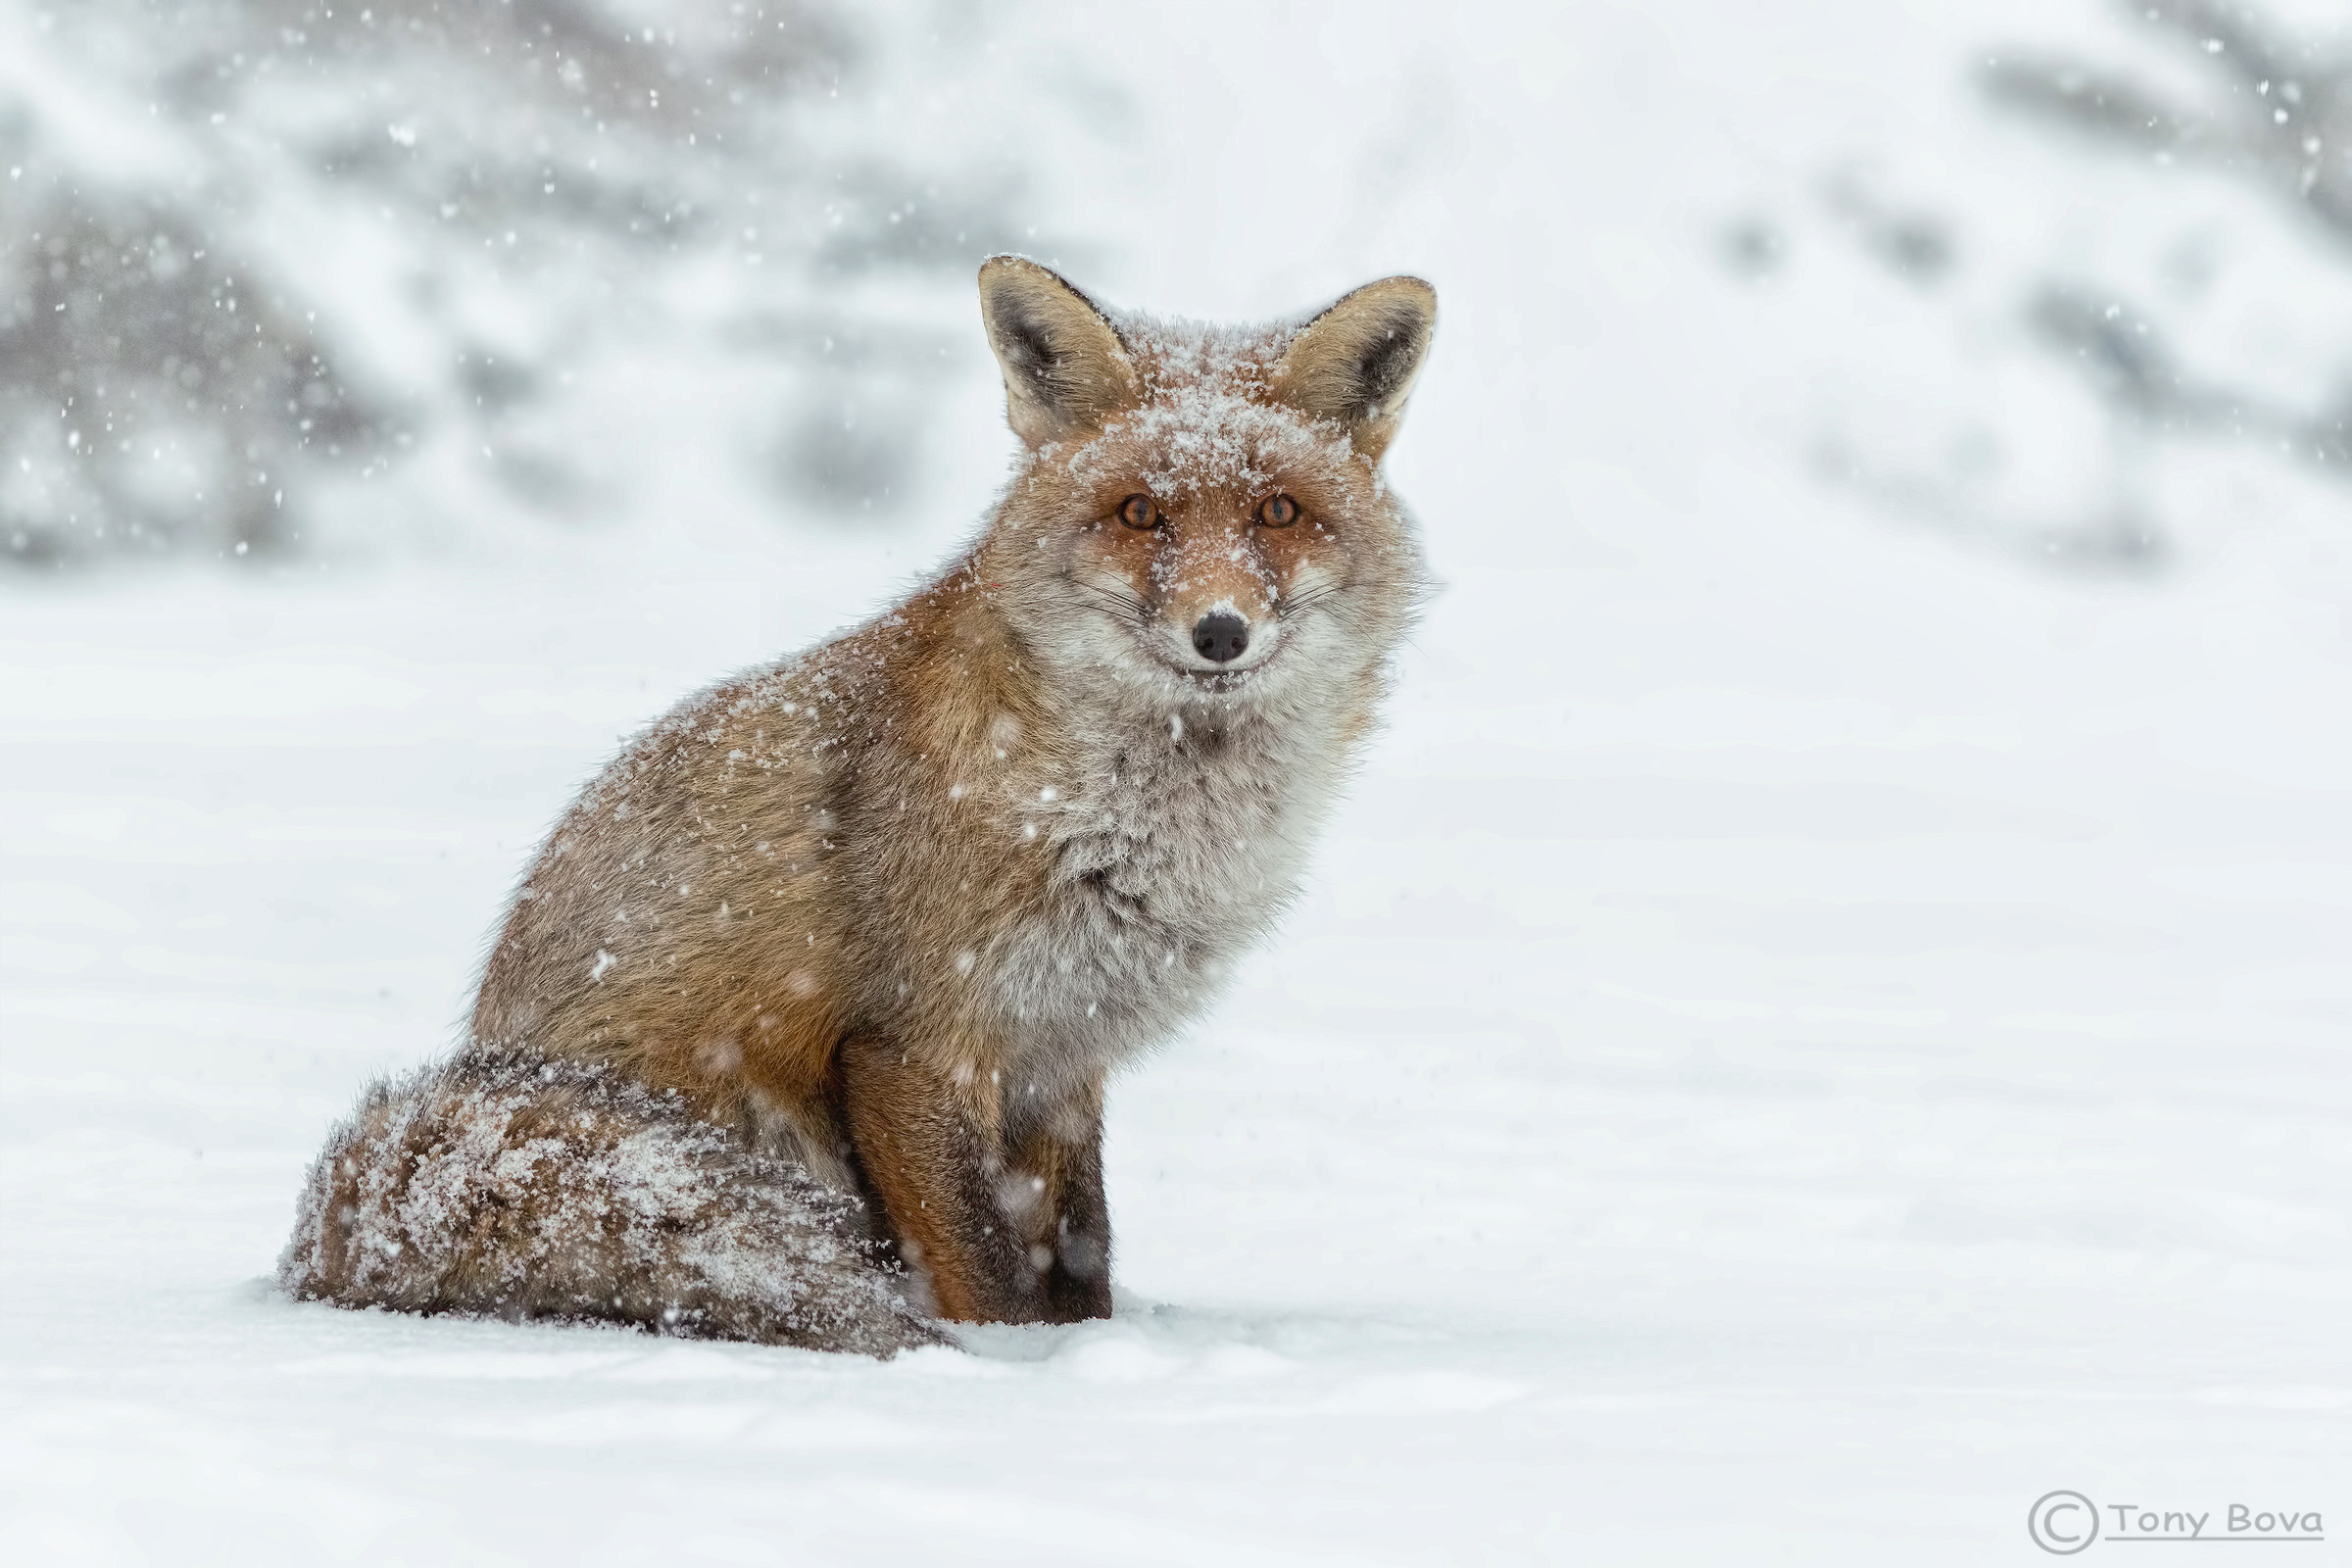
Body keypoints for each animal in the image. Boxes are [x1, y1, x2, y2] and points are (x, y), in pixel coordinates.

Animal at [278, 256, 1438, 1354]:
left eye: (1278, 512)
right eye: (1139, 513)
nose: (1220, 632)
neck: (1117, 819)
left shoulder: (1065, 1057)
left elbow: (1082, 1254)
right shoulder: (915, 1042)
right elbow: (990, 1276)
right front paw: (1016, 1377)